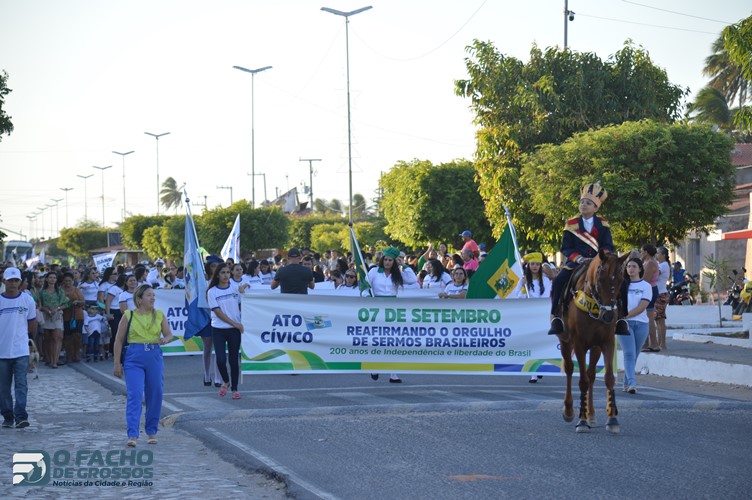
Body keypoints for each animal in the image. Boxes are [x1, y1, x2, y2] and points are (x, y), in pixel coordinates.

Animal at [560, 250, 628, 434]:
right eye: (600, 278)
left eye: (620, 279)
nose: (609, 315)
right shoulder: (579, 344)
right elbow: (582, 381)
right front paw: (581, 420)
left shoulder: (607, 342)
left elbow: (608, 378)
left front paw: (612, 419)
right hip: (565, 341)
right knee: (570, 369)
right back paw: (569, 410)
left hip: (596, 347)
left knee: (591, 375)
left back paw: (591, 415)